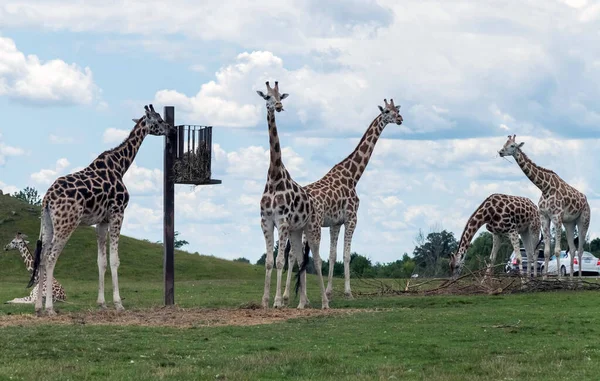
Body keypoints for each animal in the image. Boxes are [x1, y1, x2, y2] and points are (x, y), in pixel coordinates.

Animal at [28, 104, 173, 314]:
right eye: (159, 120)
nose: (172, 129)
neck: (121, 166)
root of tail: (47, 198)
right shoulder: (118, 212)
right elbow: (114, 259)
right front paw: (118, 303)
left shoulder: (102, 221)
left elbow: (101, 261)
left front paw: (102, 303)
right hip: (66, 224)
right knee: (51, 257)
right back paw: (50, 308)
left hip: (47, 224)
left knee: (41, 257)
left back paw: (39, 306)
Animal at [254, 80, 328, 308]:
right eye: (267, 96)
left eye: (280, 96)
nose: (278, 106)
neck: (274, 176)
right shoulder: (266, 221)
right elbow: (269, 261)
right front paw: (264, 301)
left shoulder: (283, 222)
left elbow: (279, 261)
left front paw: (277, 301)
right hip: (298, 231)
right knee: (300, 258)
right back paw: (302, 303)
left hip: (313, 228)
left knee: (317, 260)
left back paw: (325, 303)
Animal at [282, 98, 404, 302]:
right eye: (387, 111)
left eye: (397, 110)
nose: (401, 119)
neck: (353, 176)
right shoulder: (352, 218)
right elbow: (347, 256)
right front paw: (348, 292)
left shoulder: (335, 223)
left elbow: (333, 255)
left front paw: (329, 292)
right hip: (311, 227)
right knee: (296, 255)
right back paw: (291, 297)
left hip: (302, 227)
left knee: (293, 254)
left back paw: (289, 296)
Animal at [496, 135, 592, 278]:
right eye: (504, 144)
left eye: (512, 145)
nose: (500, 152)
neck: (545, 188)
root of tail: (586, 200)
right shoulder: (544, 217)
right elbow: (547, 251)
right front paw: (545, 277)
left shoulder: (556, 217)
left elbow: (557, 250)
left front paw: (559, 278)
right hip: (569, 223)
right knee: (573, 249)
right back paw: (570, 279)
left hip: (584, 220)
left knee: (580, 249)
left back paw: (579, 279)